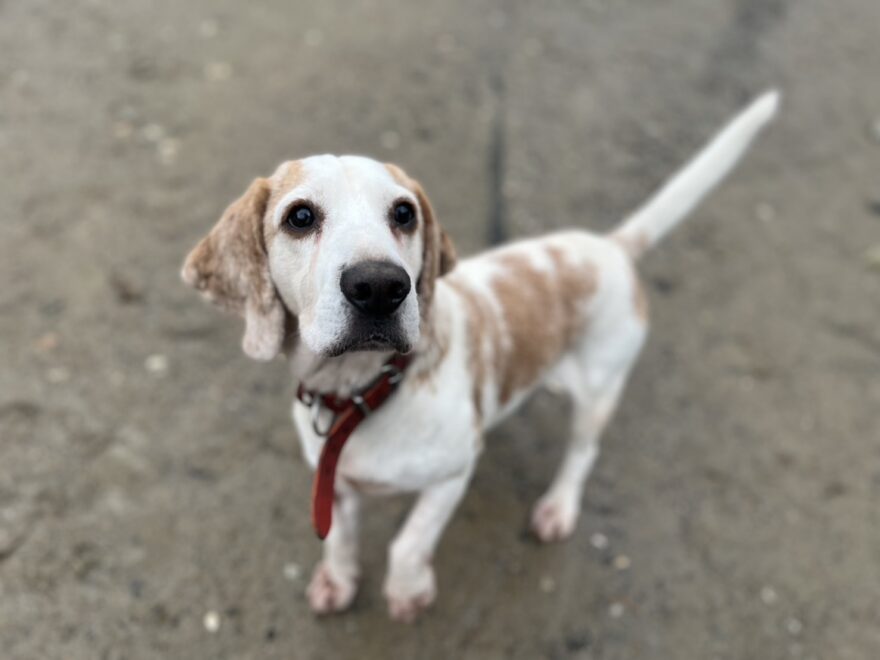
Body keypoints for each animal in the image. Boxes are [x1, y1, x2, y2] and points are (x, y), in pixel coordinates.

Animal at [182, 91, 779, 622]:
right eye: (300, 217)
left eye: (404, 213)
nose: (381, 287)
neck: (361, 393)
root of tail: (610, 247)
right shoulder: (338, 487)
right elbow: (340, 540)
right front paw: (337, 581)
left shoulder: (453, 473)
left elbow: (407, 544)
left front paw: (408, 593)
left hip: (600, 389)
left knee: (582, 454)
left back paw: (558, 508)